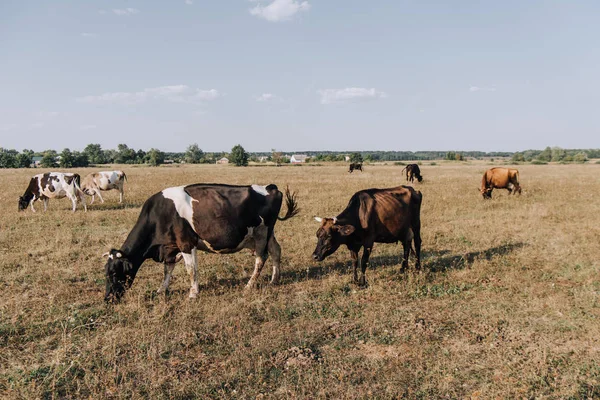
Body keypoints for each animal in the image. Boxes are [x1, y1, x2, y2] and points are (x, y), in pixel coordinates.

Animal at [104, 183, 300, 302]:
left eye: (113, 273)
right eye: (106, 272)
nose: (107, 299)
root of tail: (271, 187)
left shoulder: (186, 243)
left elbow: (191, 270)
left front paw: (193, 293)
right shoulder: (170, 247)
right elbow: (168, 270)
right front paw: (161, 290)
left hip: (261, 233)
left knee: (261, 258)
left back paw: (249, 285)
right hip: (269, 233)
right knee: (276, 251)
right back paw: (274, 280)